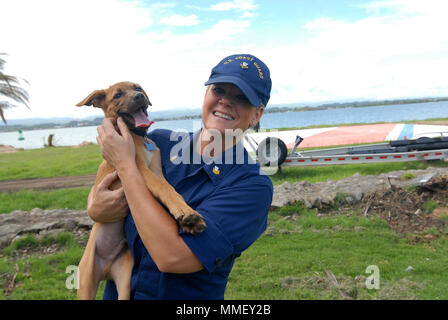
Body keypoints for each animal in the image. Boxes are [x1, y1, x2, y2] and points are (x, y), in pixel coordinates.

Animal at [76, 80, 206, 300]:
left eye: (137, 88)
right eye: (118, 94)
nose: (139, 97)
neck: (138, 138)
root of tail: (106, 267)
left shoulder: (156, 171)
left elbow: (169, 189)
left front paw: (187, 219)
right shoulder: (141, 171)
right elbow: (165, 189)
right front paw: (185, 212)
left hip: (125, 279)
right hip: (86, 283)